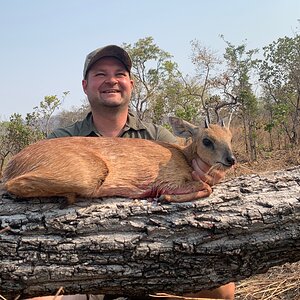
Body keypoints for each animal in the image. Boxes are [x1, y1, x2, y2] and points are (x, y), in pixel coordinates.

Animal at [2, 117, 237, 204]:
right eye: (207, 140)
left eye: (230, 137)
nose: (231, 159)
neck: (184, 156)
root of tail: (13, 164)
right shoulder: (170, 181)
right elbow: (207, 187)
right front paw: (165, 198)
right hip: (88, 174)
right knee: (11, 185)